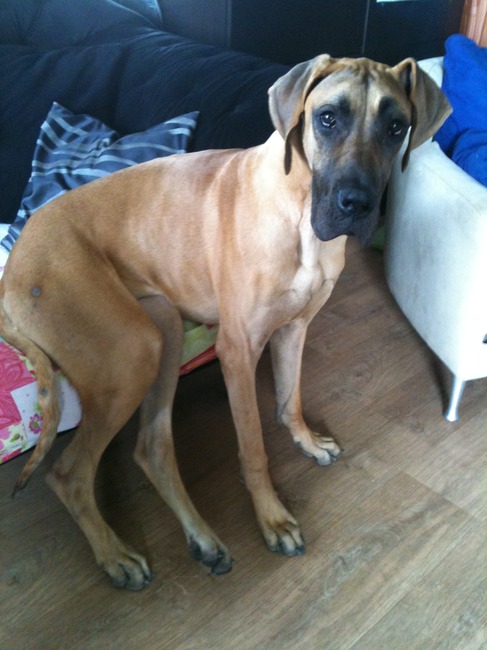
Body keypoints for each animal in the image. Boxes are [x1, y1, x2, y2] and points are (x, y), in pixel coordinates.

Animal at [0, 54, 451, 590]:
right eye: (327, 118)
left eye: (396, 126)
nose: (357, 205)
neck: (300, 213)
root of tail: (12, 266)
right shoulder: (238, 351)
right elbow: (253, 447)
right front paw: (271, 517)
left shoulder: (294, 330)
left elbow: (290, 400)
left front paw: (305, 440)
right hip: (130, 353)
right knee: (67, 474)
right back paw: (115, 555)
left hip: (164, 331)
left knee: (151, 447)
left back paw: (203, 539)